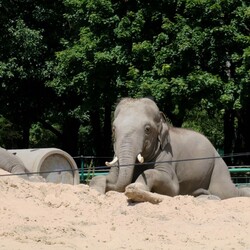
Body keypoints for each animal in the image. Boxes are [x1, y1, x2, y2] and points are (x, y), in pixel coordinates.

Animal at [89, 97, 250, 203]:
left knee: (227, 192)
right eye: (113, 129)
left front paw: (135, 188)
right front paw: (97, 189)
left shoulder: (166, 155)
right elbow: (106, 177)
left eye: (147, 129)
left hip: (218, 167)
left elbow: (172, 187)